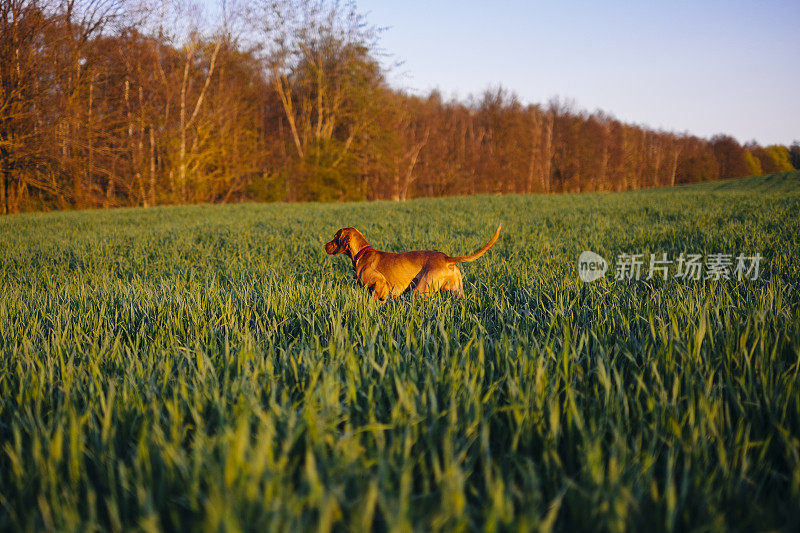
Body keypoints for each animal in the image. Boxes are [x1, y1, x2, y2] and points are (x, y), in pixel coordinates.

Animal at [324, 224, 500, 300]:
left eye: (334, 237)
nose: (324, 245)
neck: (363, 254)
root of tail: (446, 258)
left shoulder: (381, 285)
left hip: (421, 290)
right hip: (457, 291)